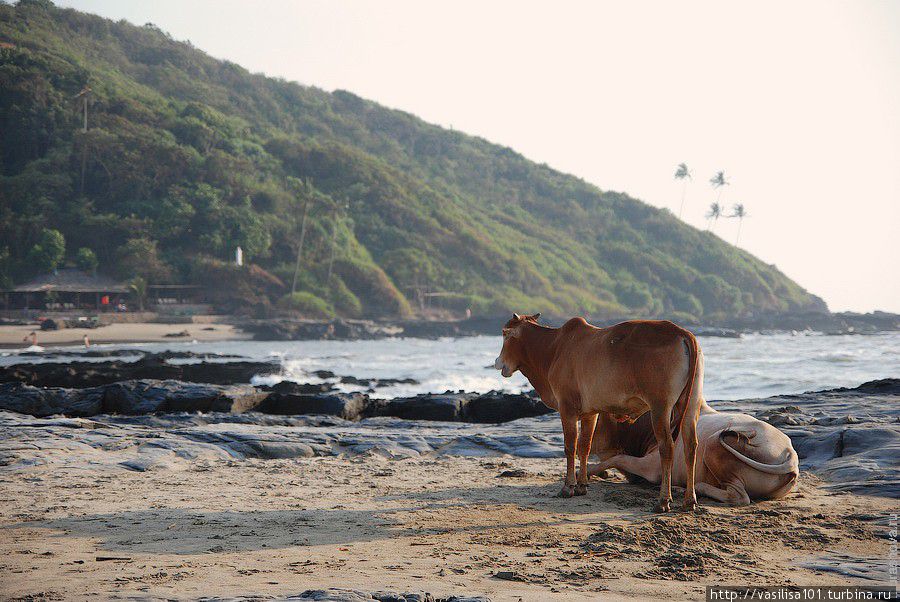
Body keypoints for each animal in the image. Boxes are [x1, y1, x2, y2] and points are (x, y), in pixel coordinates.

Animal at [496, 312, 700, 508]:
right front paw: (581, 485)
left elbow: (570, 446)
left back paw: (663, 500)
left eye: (505, 334)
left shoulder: (567, 408)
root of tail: (682, 332)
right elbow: (584, 446)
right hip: (691, 406)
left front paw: (568, 487)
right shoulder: (591, 413)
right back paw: (689, 501)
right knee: (690, 446)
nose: (498, 362)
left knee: (666, 447)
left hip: (660, 407)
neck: (554, 349)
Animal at [592, 398, 800, 506]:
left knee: (739, 497)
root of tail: (790, 454)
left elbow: (616, 459)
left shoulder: (652, 467)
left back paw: (695, 488)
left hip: (712, 445)